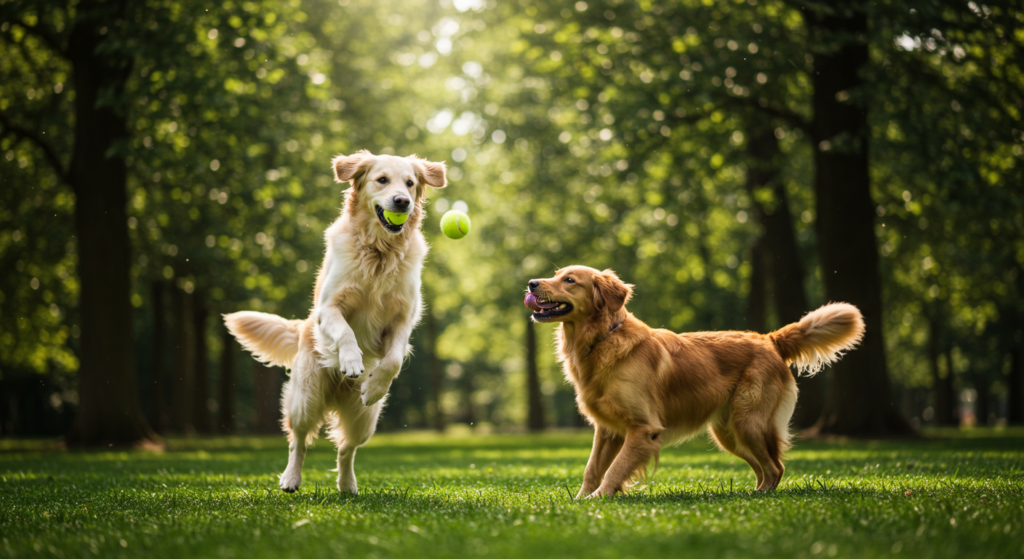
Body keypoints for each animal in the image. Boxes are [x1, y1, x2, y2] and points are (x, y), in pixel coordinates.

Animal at [226, 149, 446, 491]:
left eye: (410, 183)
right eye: (382, 180)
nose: (402, 201)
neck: (379, 251)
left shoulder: (403, 319)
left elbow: (393, 360)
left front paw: (374, 384)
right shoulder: (328, 308)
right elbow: (345, 332)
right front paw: (352, 361)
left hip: (365, 419)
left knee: (346, 447)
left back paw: (347, 485)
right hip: (305, 399)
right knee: (298, 441)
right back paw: (291, 478)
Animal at [528, 266, 864, 495]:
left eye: (569, 280)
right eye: (556, 274)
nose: (531, 283)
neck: (601, 339)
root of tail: (769, 339)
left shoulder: (644, 429)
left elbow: (615, 468)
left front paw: (598, 498)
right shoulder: (608, 430)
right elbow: (593, 468)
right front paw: (580, 500)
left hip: (749, 422)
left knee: (775, 467)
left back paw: (759, 497)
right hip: (728, 432)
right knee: (766, 467)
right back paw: (749, 494)